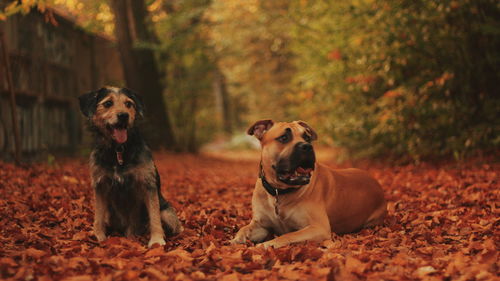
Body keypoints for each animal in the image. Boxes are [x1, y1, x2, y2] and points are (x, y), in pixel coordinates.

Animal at [80, 86, 184, 246]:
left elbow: (154, 215)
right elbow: (98, 215)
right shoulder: (100, 185)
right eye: (108, 103)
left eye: (128, 104)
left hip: (167, 213)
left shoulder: (147, 184)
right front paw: (98, 236)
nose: (123, 115)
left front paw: (156, 240)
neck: (118, 150)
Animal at [230, 119, 386, 246]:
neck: (279, 191)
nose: (306, 146)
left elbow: (288, 236)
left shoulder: (318, 228)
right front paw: (236, 239)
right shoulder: (260, 225)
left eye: (307, 137)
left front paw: (266, 245)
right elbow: (244, 228)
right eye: (284, 137)